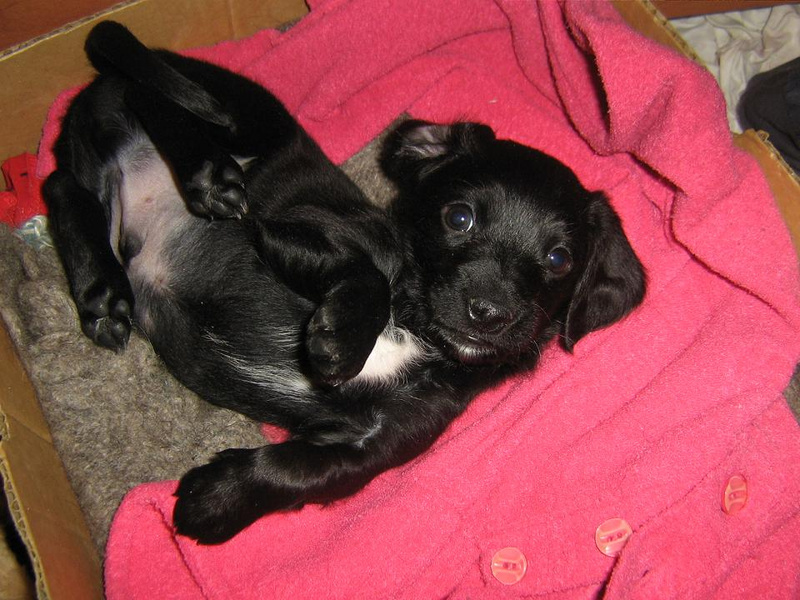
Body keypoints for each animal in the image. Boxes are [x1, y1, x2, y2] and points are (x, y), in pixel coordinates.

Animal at [43, 21, 646, 544]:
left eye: (559, 258)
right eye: (459, 218)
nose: (489, 313)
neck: (416, 334)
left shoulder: (374, 442)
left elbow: (298, 470)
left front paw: (212, 500)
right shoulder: (289, 230)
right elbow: (362, 273)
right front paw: (338, 340)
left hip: (107, 179)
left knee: (64, 186)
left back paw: (104, 295)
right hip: (244, 115)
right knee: (152, 100)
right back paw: (207, 177)